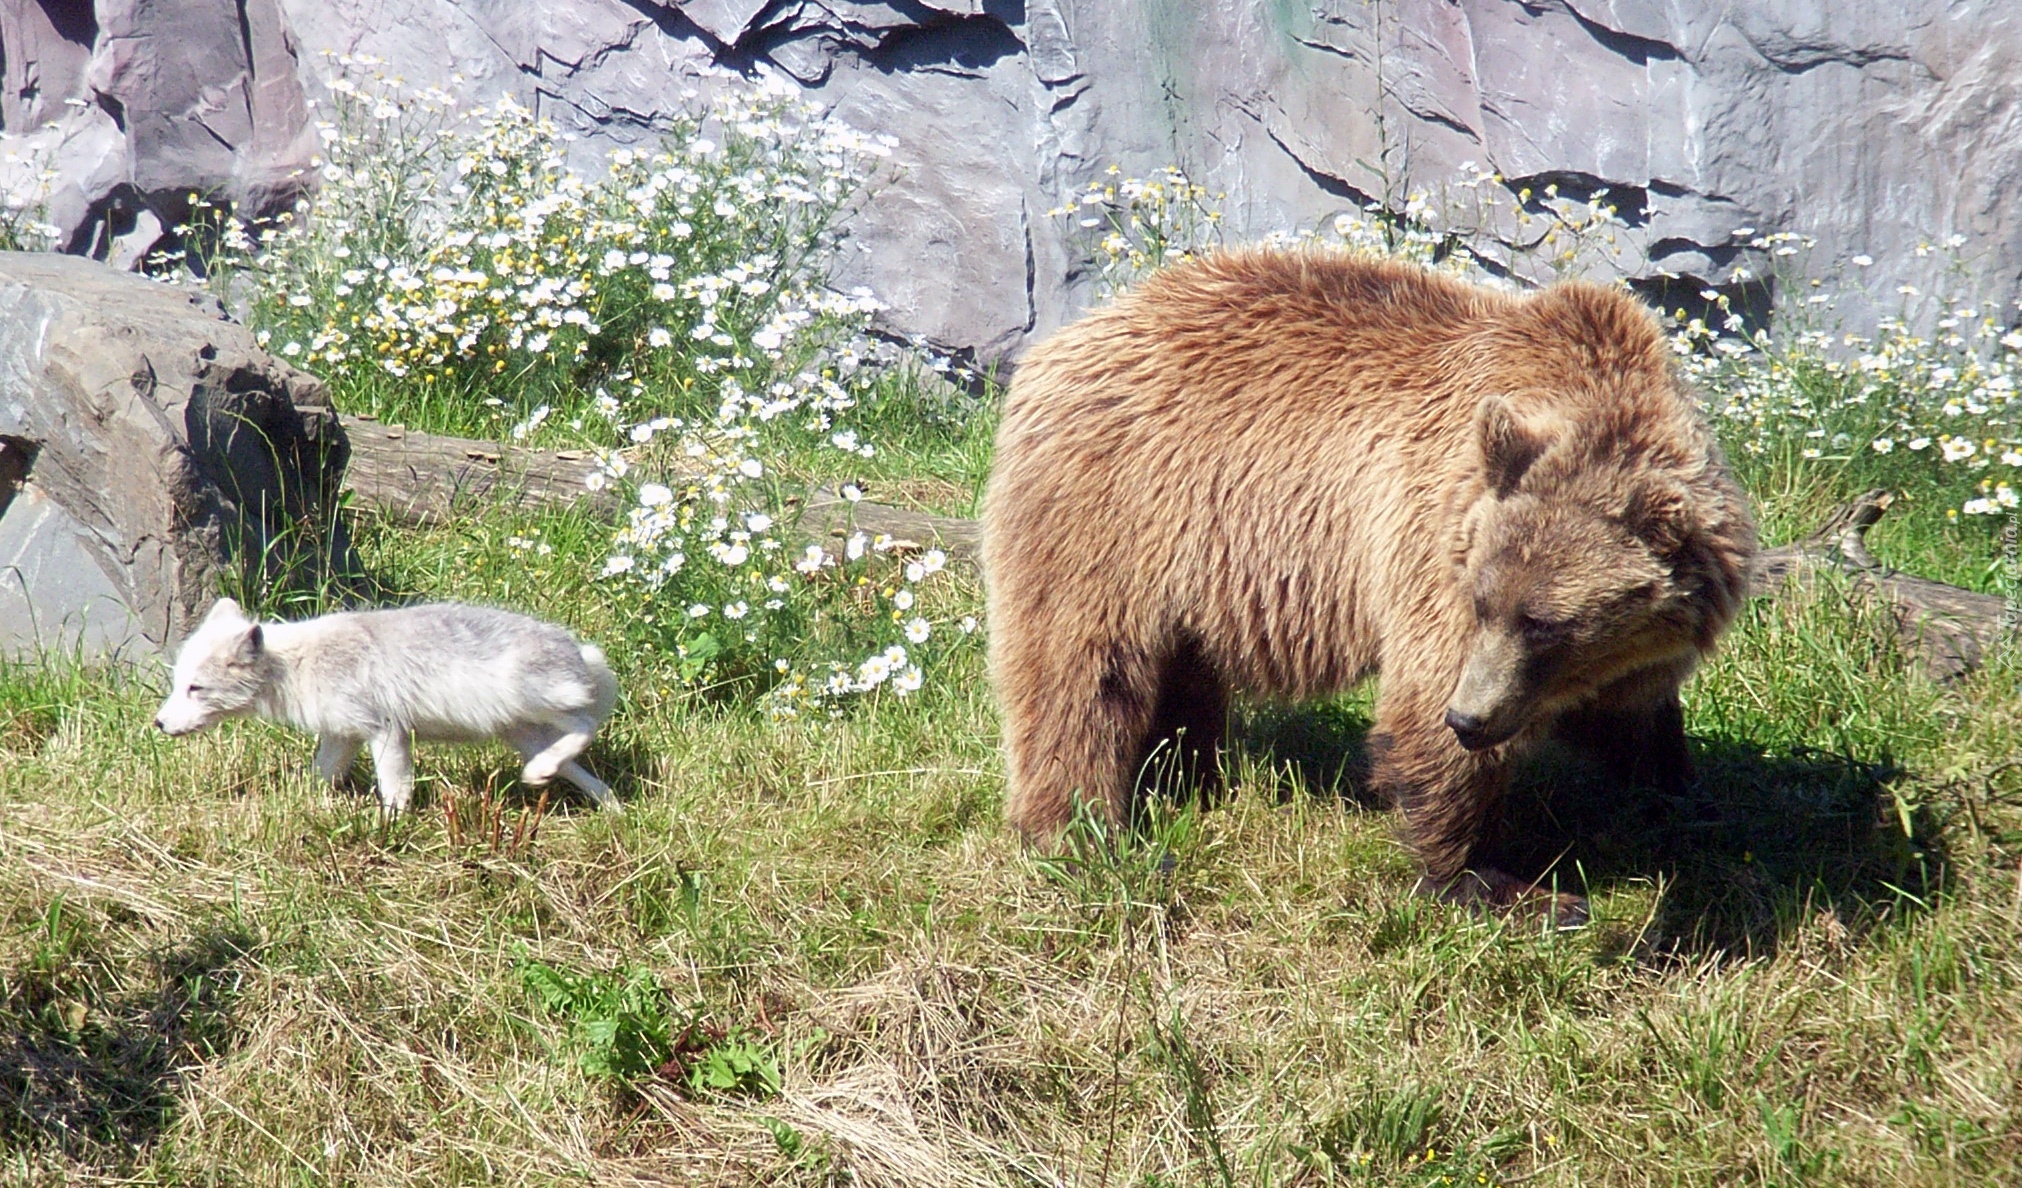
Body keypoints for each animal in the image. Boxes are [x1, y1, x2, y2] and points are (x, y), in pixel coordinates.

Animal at [156, 598, 618, 812]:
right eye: (179, 684)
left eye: (196, 688)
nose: (158, 724)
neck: (297, 666)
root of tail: (578, 649)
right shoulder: (342, 736)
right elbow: (319, 777)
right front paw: (302, 805)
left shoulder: (385, 732)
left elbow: (394, 790)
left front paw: (389, 828)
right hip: (521, 734)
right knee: (581, 770)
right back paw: (608, 806)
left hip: (537, 702)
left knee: (587, 725)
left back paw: (547, 772)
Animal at [978, 248, 1755, 917]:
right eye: (1487, 605)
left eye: (1544, 623)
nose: (1470, 719)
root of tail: (1064, 342)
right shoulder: (1433, 531)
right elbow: (1426, 708)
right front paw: (1496, 882)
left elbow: (1637, 716)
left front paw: (1687, 794)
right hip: (1113, 506)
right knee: (1081, 674)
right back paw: (1083, 834)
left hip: (1192, 564)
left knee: (1181, 675)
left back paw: (1187, 784)